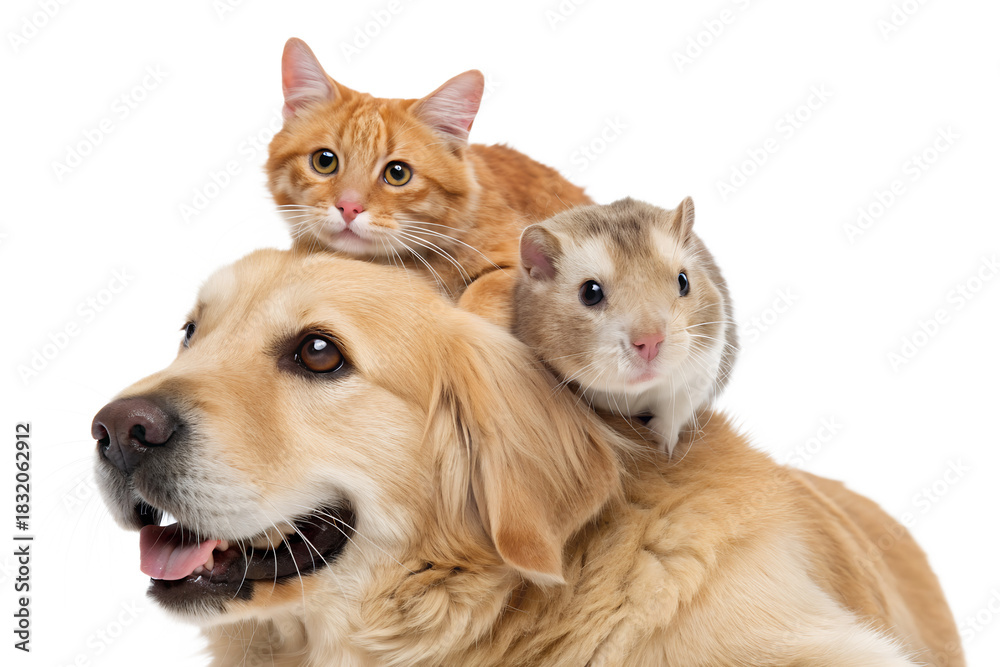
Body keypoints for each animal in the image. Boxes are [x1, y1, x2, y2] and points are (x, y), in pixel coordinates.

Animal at [513, 197, 738, 454]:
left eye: (683, 281)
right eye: (590, 293)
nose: (650, 343)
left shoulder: (704, 367)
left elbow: (673, 412)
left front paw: (662, 448)